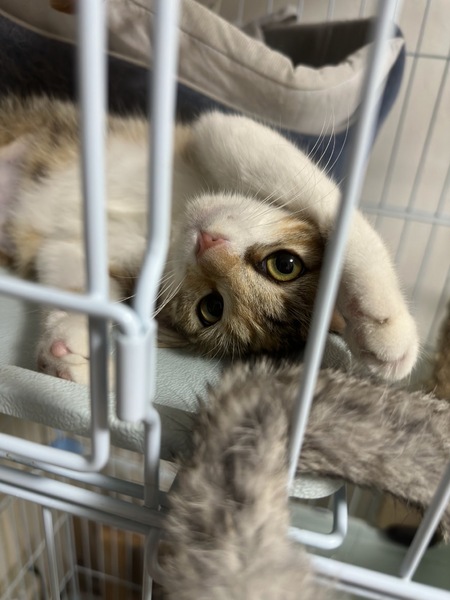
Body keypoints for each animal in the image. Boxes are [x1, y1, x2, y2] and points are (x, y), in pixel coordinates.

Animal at [0, 95, 418, 384]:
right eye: (285, 264)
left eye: (211, 308)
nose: (208, 243)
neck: (173, 218)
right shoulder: (213, 132)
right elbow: (327, 204)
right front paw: (385, 321)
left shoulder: (80, 248)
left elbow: (70, 269)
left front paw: (68, 348)